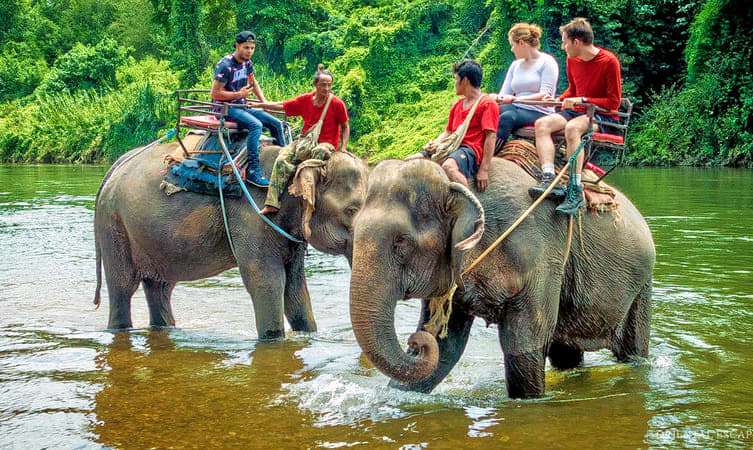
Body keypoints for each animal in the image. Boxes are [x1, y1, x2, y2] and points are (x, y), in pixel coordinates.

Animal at [93, 142, 367, 339]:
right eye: (352, 210)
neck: (296, 161)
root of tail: (116, 166)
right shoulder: (253, 216)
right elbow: (266, 281)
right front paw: (273, 339)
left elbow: (295, 286)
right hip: (114, 225)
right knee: (123, 287)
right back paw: (119, 328)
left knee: (159, 287)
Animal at [349, 158, 655, 398]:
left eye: (401, 242)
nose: (414, 342)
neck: (457, 183)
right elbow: (446, 347)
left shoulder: (539, 256)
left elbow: (523, 345)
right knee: (565, 354)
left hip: (641, 284)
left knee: (632, 350)